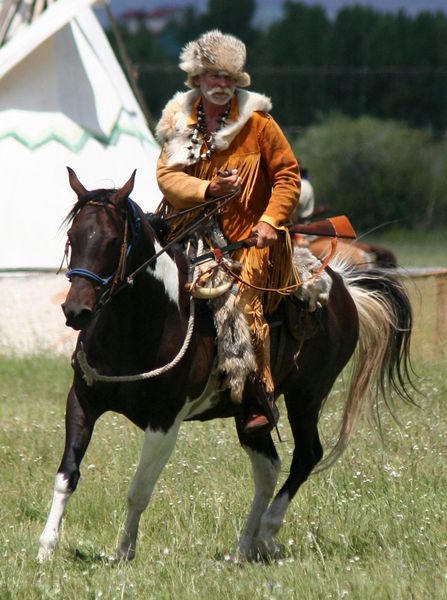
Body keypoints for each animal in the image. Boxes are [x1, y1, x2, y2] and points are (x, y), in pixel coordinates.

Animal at [36, 169, 414, 564]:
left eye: (112, 241)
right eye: (73, 237)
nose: (76, 311)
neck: (140, 323)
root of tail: (345, 289)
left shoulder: (165, 422)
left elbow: (139, 489)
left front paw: (124, 551)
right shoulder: (82, 401)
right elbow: (67, 474)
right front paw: (46, 548)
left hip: (307, 397)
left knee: (307, 455)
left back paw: (267, 532)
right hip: (252, 414)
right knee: (268, 468)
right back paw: (244, 548)